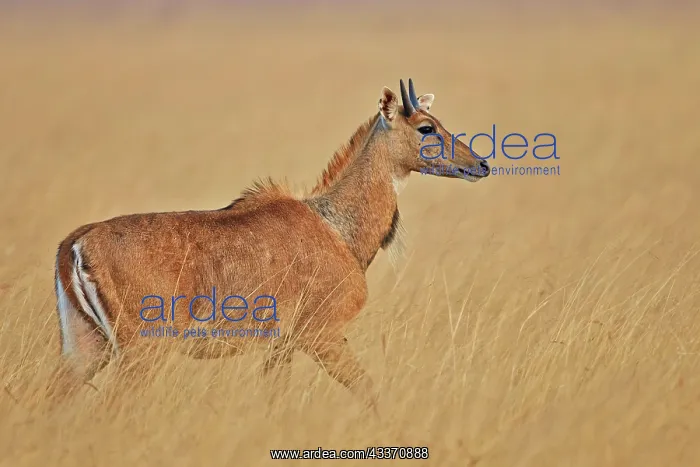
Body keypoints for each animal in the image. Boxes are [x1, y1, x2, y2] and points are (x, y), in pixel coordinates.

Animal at [50, 79, 490, 410]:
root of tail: (76, 243)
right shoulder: (320, 335)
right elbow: (370, 392)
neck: (335, 226)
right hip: (141, 352)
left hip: (86, 348)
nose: (480, 164)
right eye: (426, 127)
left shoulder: (283, 345)